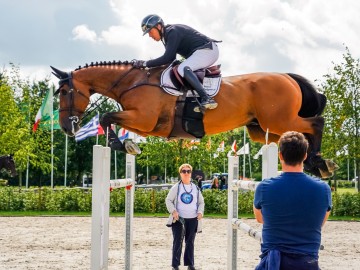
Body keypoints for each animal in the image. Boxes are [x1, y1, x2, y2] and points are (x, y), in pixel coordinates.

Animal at [50, 61, 338, 179]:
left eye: (63, 92)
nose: (66, 127)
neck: (132, 81)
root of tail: (287, 77)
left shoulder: (144, 119)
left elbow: (107, 116)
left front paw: (123, 145)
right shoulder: (145, 124)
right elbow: (112, 120)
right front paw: (126, 145)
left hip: (277, 120)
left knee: (316, 123)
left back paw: (317, 161)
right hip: (262, 128)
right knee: (297, 136)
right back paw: (317, 163)